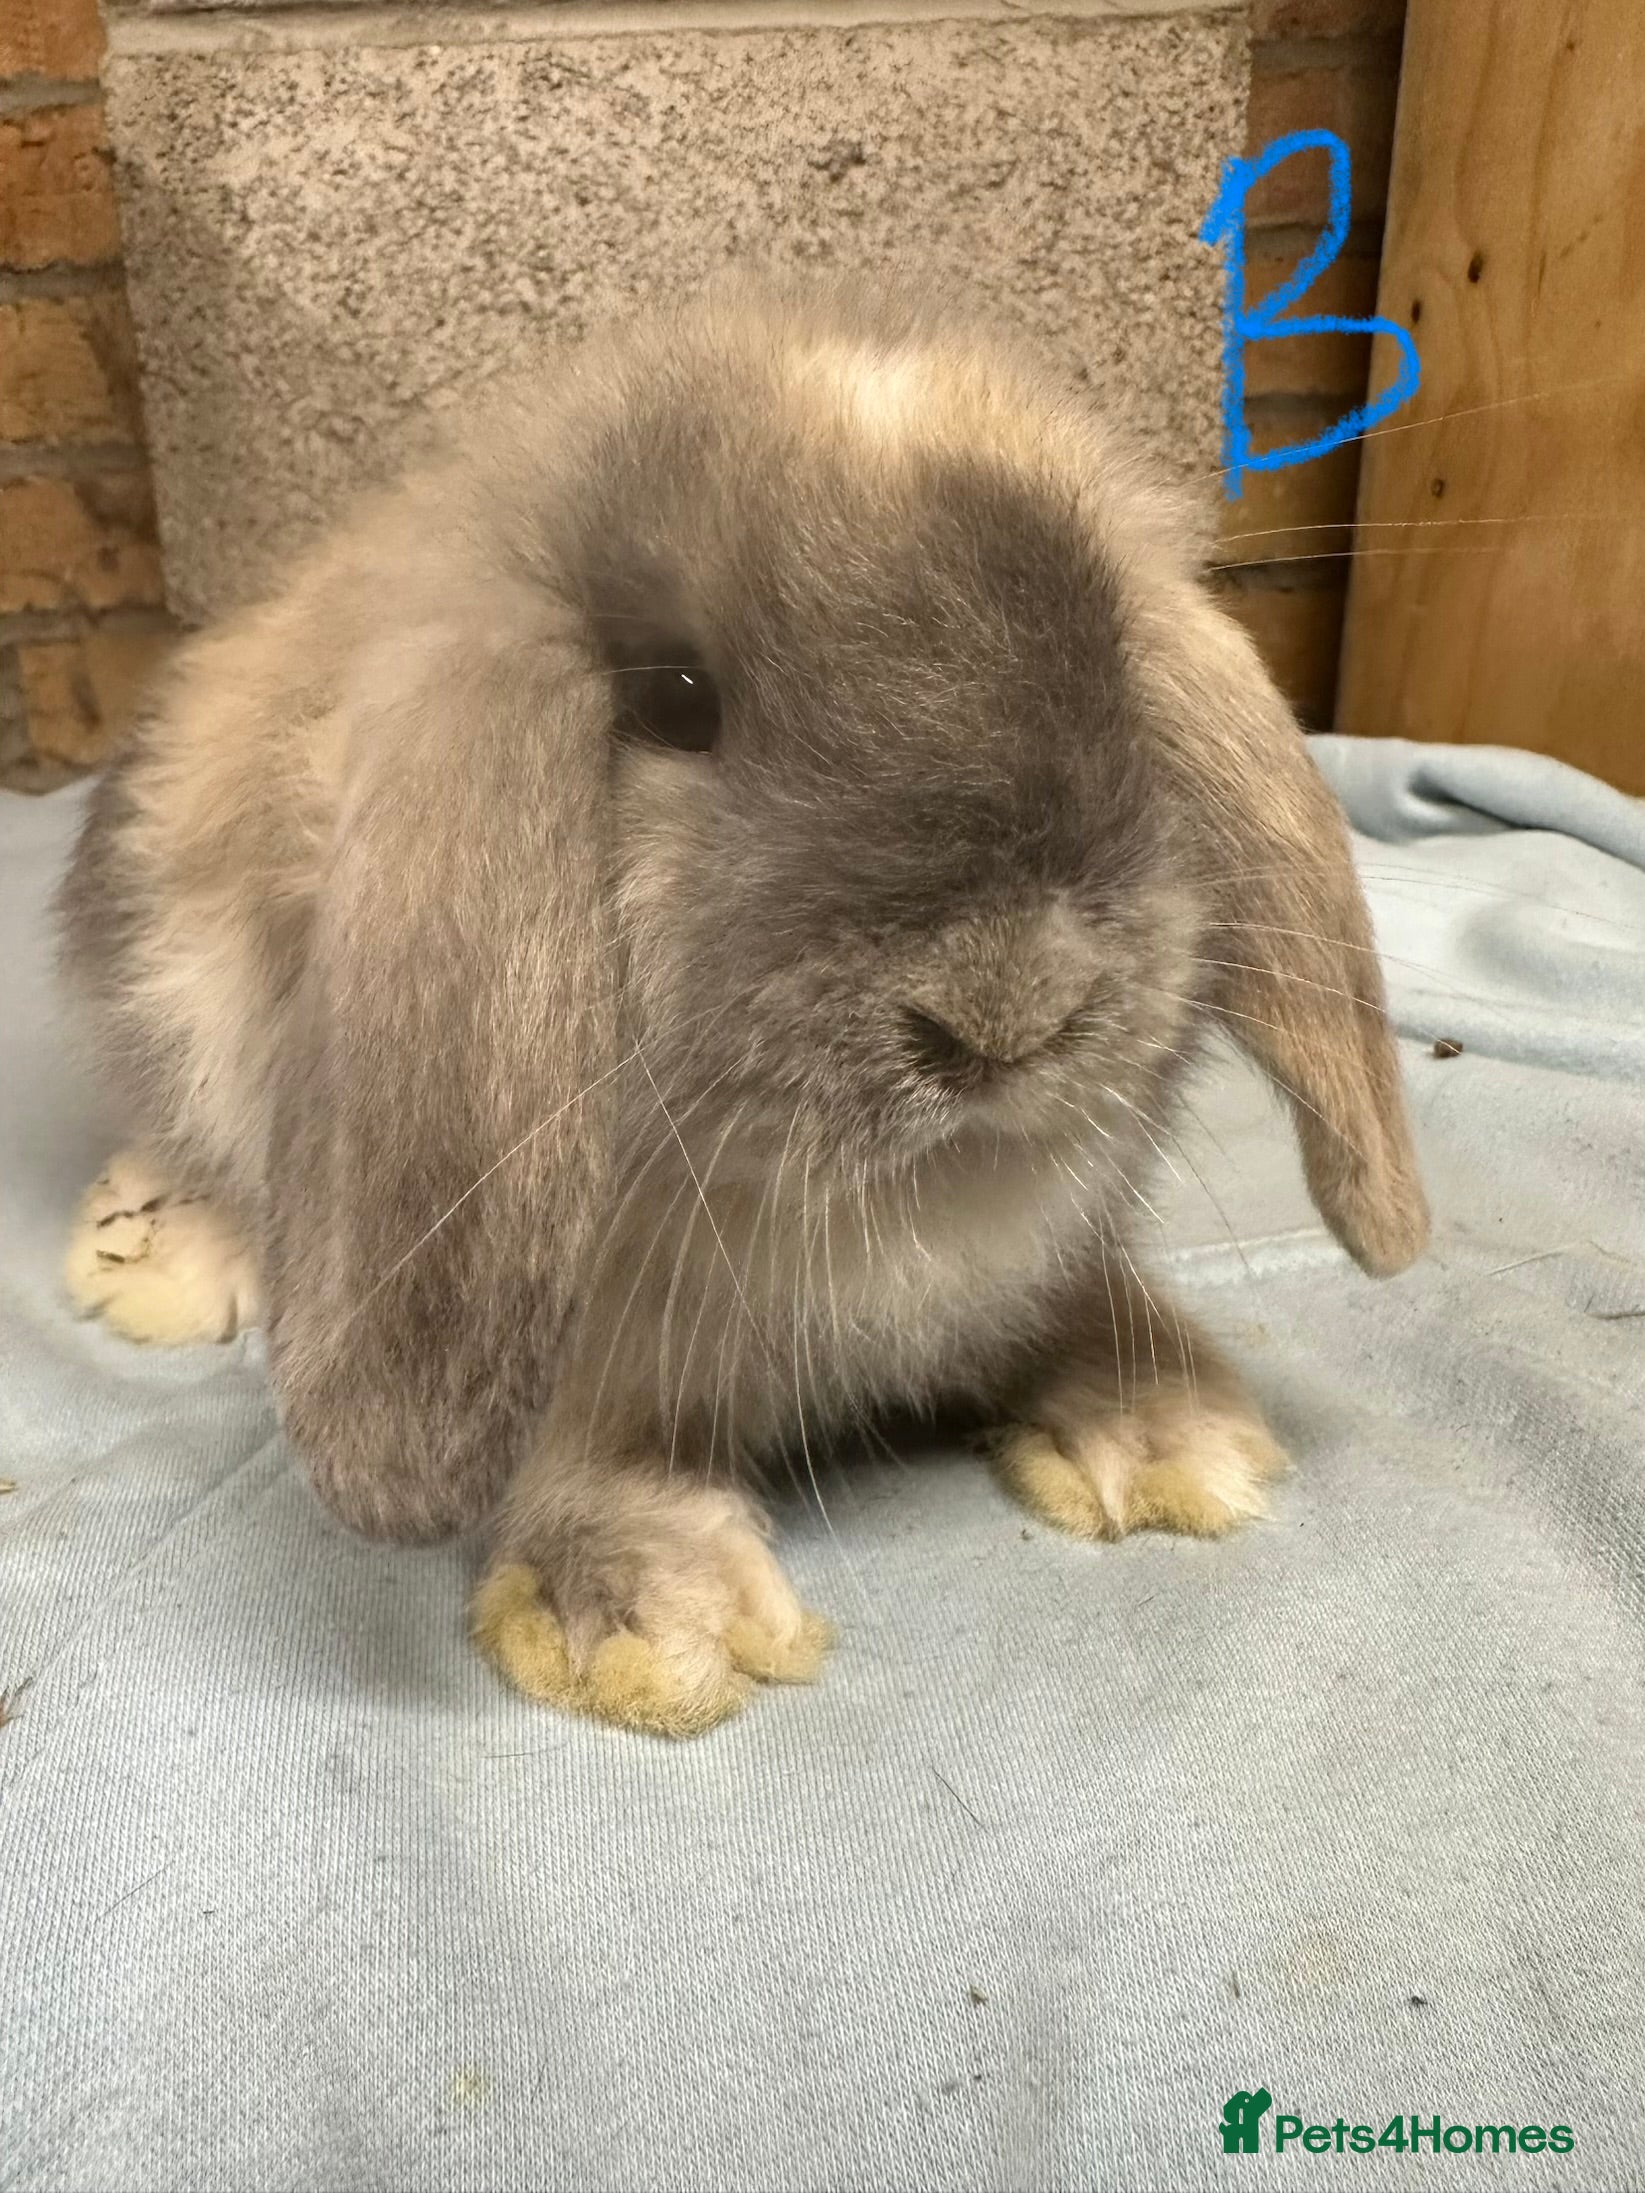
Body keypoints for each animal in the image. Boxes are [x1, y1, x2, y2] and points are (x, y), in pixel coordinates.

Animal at [58, 273, 1428, 1737]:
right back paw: (158, 1255)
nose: (1006, 1011)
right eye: (674, 698)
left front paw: (1165, 1432)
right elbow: (577, 1449)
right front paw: (645, 1617)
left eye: (1111, 655)